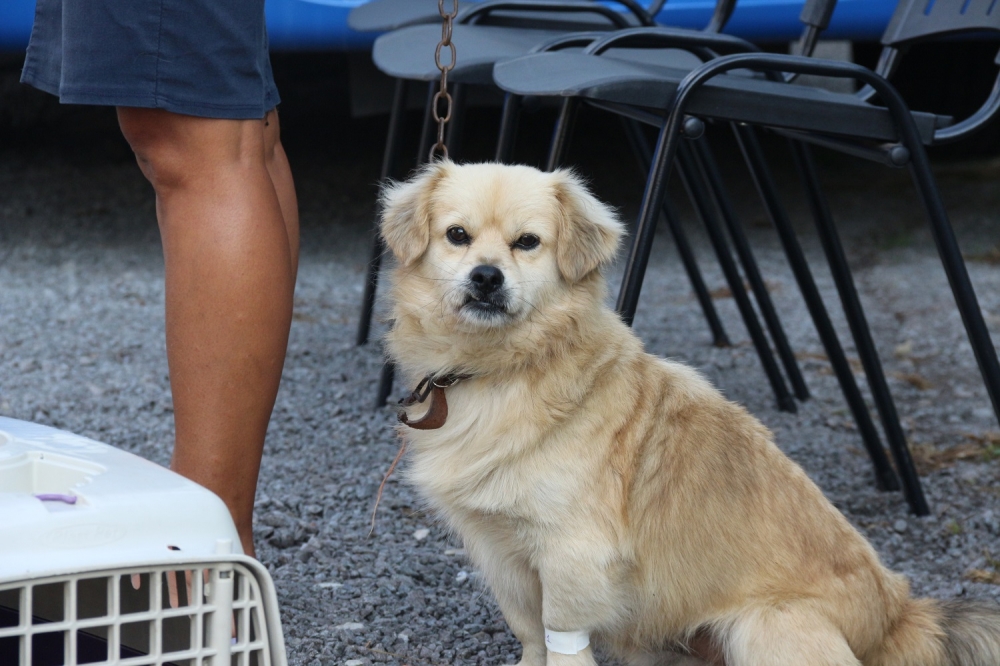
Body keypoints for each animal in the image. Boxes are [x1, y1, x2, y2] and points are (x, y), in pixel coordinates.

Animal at [376, 161, 1000, 664]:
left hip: (767, 624)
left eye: (526, 243)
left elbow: (562, 639)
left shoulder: (571, 553)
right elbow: (529, 631)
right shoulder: (498, 549)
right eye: (457, 236)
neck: (502, 368)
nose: (487, 276)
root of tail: (898, 616)